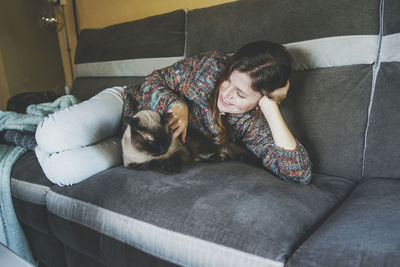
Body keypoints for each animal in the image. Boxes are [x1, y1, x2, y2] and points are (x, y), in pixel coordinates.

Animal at [120, 110, 260, 175]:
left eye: (168, 138)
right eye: (153, 142)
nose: (164, 149)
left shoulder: (179, 151)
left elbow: (172, 159)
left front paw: (168, 168)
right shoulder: (132, 164)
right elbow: (150, 164)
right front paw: (160, 163)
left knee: (223, 151)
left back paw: (215, 158)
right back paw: (214, 159)